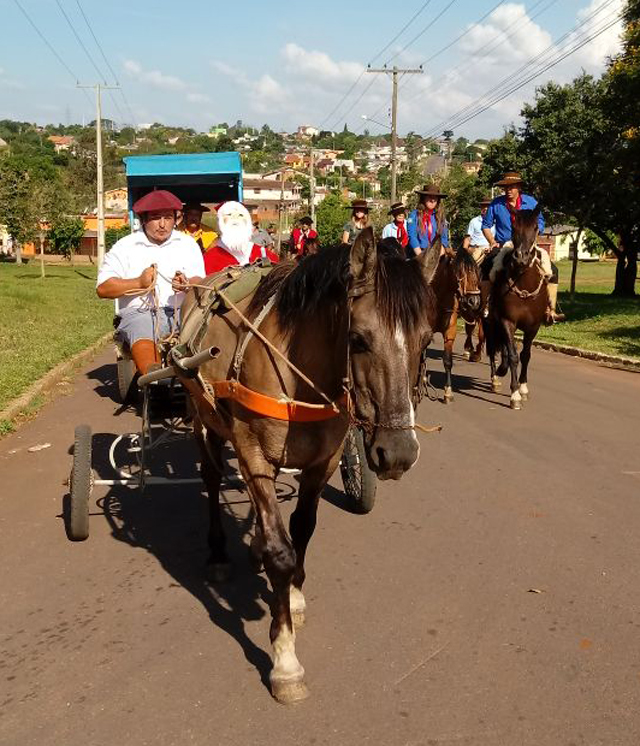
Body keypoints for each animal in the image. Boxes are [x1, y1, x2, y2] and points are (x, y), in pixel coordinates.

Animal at [178, 228, 442, 704]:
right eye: (358, 339)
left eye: (427, 339)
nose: (397, 452)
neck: (298, 369)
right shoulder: (252, 452)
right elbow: (282, 551)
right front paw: (284, 658)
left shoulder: (325, 461)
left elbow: (302, 530)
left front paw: (294, 597)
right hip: (201, 417)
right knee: (211, 477)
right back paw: (220, 552)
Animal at [428, 244, 482, 402]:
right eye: (459, 272)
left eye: (476, 271)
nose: (474, 301)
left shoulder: (450, 331)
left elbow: (447, 360)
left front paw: (448, 391)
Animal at [482, 206, 548, 410]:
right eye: (514, 227)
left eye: (535, 227)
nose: (521, 257)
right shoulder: (507, 321)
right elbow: (512, 356)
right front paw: (515, 394)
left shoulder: (533, 326)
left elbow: (525, 355)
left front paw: (523, 388)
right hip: (488, 323)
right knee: (492, 348)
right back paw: (496, 377)